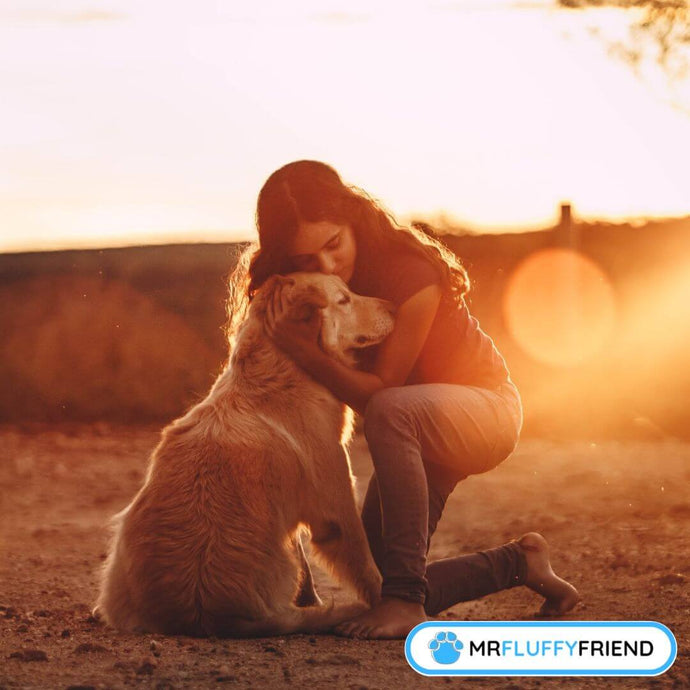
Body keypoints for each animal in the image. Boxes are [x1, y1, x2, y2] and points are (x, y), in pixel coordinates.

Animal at [94, 272, 392, 636]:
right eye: (344, 299)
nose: (393, 306)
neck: (281, 371)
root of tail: (205, 614)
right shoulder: (336, 502)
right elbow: (365, 562)